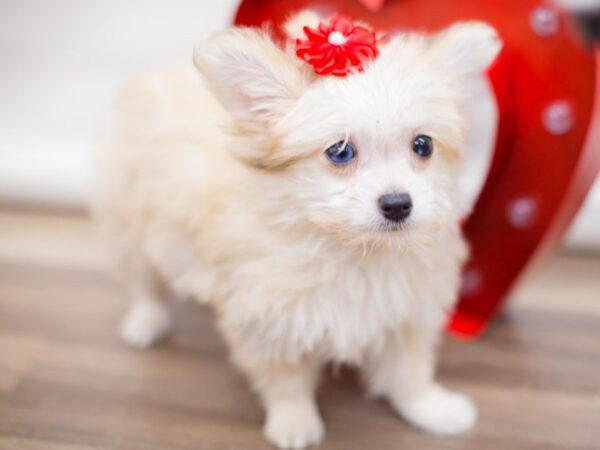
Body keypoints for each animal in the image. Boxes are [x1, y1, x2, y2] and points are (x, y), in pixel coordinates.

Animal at [94, 11, 502, 450]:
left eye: (423, 145)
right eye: (340, 152)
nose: (397, 204)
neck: (353, 250)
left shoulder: (408, 311)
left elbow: (410, 373)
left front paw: (432, 409)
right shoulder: (272, 322)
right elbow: (286, 382)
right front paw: (294, 423)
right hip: (132, 224)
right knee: (144, 281)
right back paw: (145, 322)